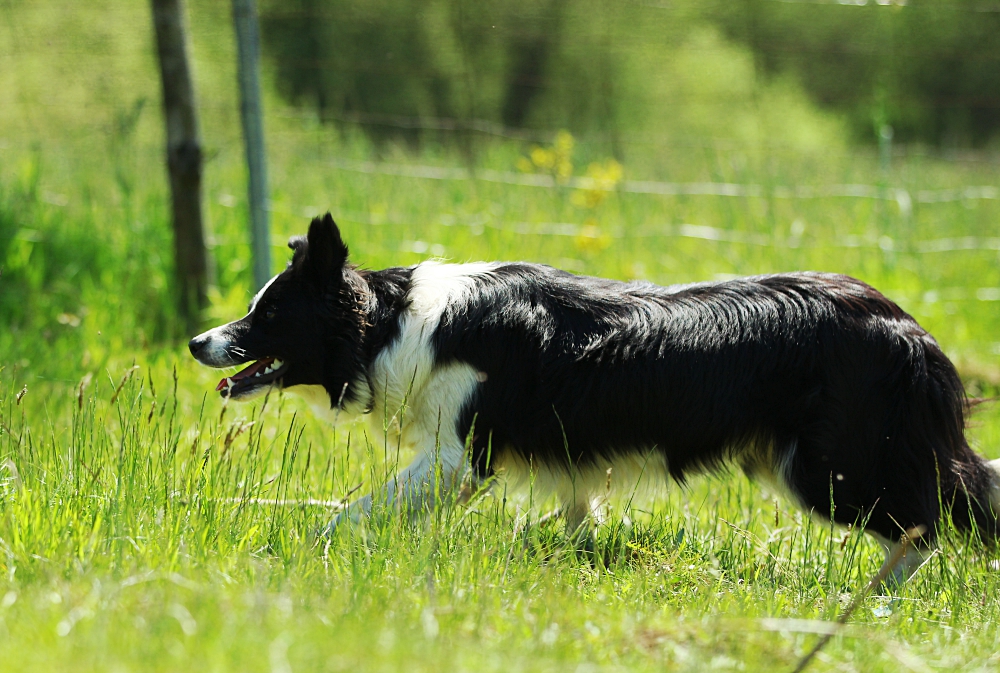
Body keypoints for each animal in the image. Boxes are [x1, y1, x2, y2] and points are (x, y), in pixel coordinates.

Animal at [190, 214, 1000, 584]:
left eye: (268, 314)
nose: (199, 342)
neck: (392, 322)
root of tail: (906, 325)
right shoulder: (566, 462)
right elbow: (569, 521)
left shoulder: (458, 458)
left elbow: (349, 514)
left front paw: (299, 554)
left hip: (833, 467)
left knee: (926, 523)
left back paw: (873, 601)